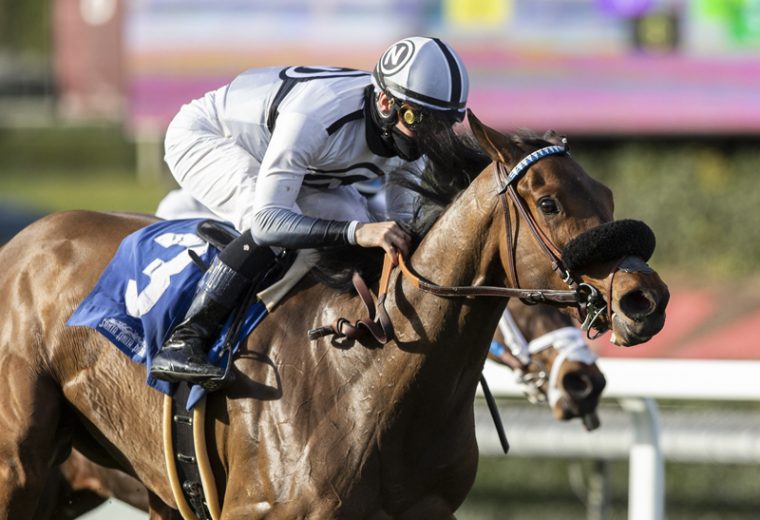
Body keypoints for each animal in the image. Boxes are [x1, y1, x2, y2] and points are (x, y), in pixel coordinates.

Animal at [0, 111, 664, 516]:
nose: (645, 300)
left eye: (606, 197)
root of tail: (21, 243)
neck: (369, 373)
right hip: (19, 469)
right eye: (549, 203)